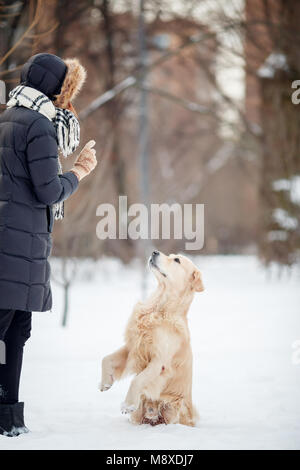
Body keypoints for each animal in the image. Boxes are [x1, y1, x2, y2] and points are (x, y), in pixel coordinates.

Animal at [100, 252, 204, 428]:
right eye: (170, 255)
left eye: (176, 260)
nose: (154, 252)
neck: (159, 308)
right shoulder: (133, 346)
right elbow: (106, 358)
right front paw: (105, 382)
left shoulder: (159, 361)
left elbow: (138, 380)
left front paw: (127, 404)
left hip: (173, 407)